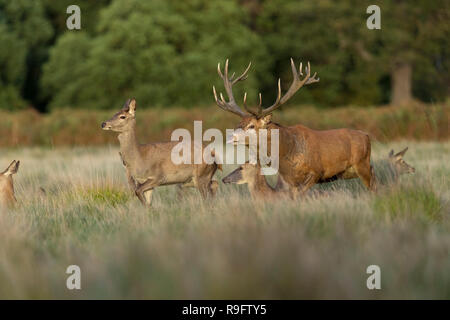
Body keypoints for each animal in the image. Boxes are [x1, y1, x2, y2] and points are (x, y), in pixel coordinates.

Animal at [214, 58, 376, 196]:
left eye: (252, 125)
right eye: (238, 124)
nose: (231, 136)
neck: (286, 156)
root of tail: (367, 136)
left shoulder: (316, 172)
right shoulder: (289, 180)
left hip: (362, 164)